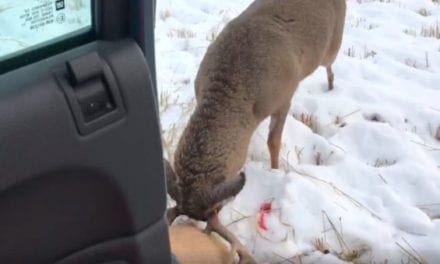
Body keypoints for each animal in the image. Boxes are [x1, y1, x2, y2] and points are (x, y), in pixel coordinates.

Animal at [164, 0, 344, 262]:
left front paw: (276, 171)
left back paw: (331, 86)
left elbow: (274, 141)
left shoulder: (284, 96)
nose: (200, 225)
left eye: (214, 209)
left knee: (330, 64)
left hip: (333, 45)